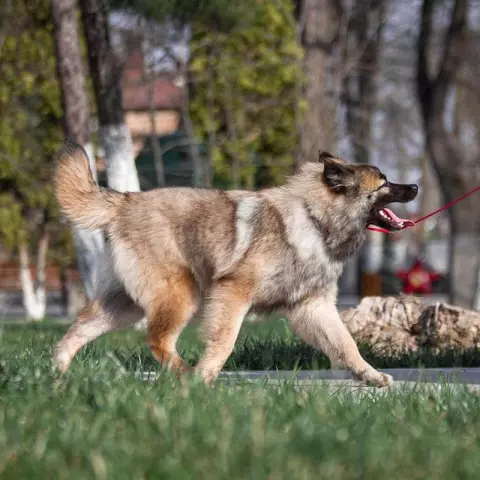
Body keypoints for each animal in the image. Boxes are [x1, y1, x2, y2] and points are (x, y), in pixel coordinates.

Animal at [54, 142, 418, 386]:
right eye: (384, 183)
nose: (415, 186)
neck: (314, 219)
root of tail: (126, 201)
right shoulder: (232, 294)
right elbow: (225, 340)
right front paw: (206, 376)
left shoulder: (314, 307)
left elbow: (346, 344)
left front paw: (370, 375)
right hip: (179, 295)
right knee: (158, 340)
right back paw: (186, 375)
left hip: (123, 304)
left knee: (79, 328)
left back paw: (57, 373)